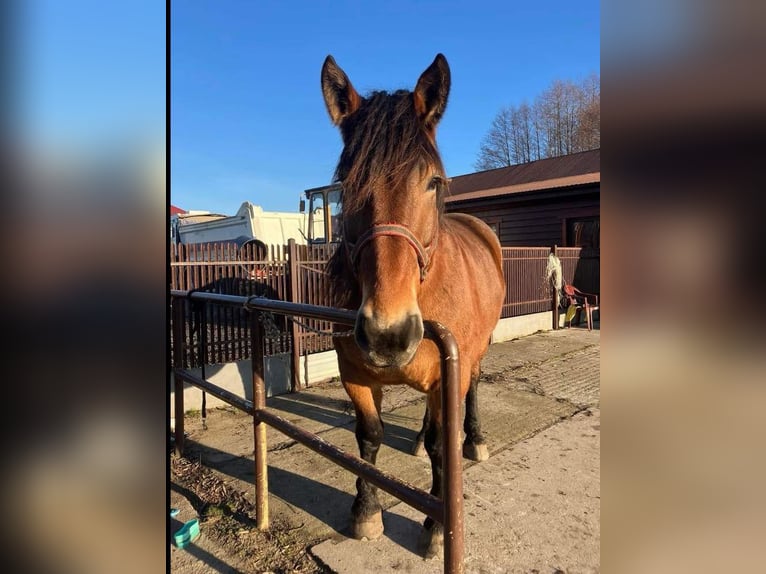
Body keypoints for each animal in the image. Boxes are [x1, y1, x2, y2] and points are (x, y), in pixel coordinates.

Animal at [320, 53, 508, 560]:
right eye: (345, 183)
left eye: (432, 182)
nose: (389, 335)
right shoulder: (356, 376)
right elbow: (369, 436)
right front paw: (366, 511)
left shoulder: (450, 373)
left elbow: (446, 448)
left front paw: (438, 528)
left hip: (475, 353)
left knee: (473, 388)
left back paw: (476, 438)